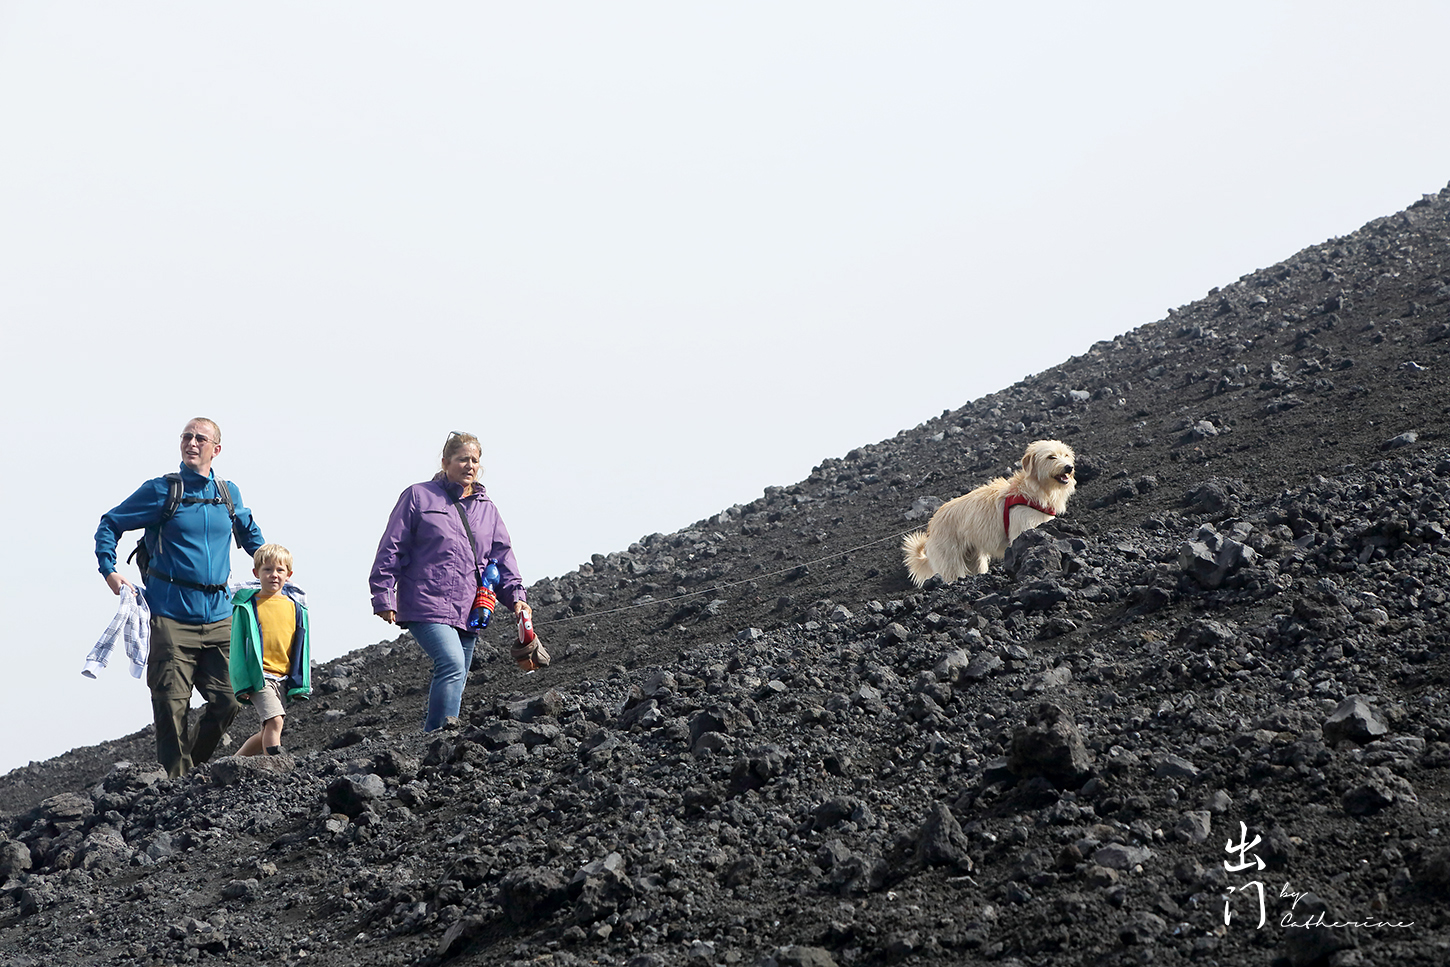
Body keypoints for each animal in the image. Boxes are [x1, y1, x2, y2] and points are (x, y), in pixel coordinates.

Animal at [899, 440, 1073, 591]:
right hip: (950, 561)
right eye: (1051, 457)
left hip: (973, 559)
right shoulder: (1022, 529)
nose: (1069, 467)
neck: (1032, 489)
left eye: (1066, 455)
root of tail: (932, 525)